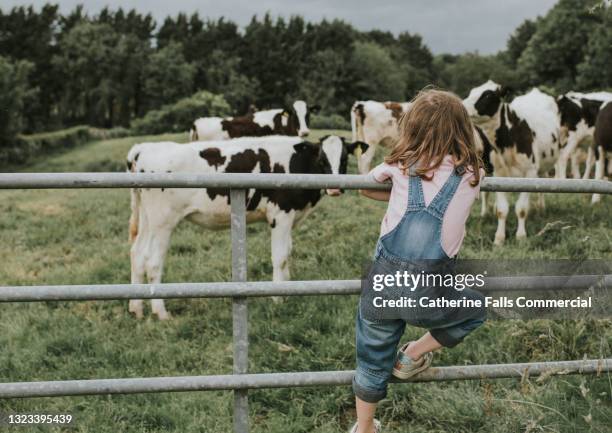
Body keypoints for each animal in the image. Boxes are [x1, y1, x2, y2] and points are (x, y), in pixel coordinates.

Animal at [123, 133, 364, 318]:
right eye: (322, 158)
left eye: (344, 158)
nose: (335, 188)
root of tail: (142, 148)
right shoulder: (280, 214)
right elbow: (280, 257)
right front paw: (277, 298)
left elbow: (287, 253)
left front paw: (287, 290)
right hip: (163, 221)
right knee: (153, 261)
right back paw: (161, 312)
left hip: (147, 218)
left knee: (137, 253)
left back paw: (136, 308)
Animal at [464, 79, 560, 245]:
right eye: (471, 92)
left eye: (487, 95)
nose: (462, 105)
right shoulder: (499, 174)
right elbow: (502, 210)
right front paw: (499, 238)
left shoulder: (530, 174)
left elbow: (521, 209)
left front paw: (521, 236)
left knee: (543, 183)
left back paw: (541, 208)